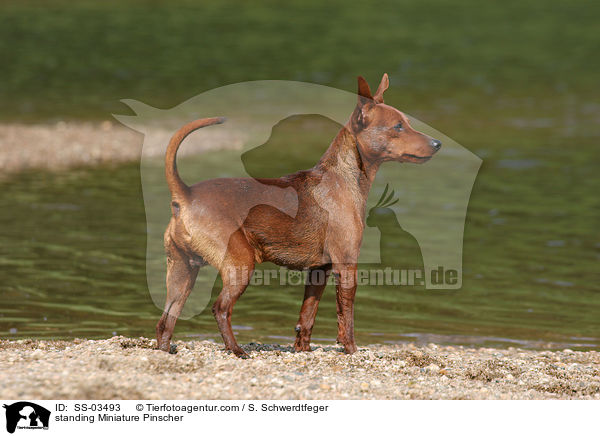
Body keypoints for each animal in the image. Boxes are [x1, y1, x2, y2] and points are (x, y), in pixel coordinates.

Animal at [155, 73, 440, 356]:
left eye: (407, 123)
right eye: (398, 127)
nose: (437, 143)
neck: (342, 177)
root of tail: (185, 194)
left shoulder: (318, 271)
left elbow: (307, 316)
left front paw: (303, 349)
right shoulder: (346, 265)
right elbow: (345, 316)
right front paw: (350, 349)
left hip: (182, 272)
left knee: (165, 320)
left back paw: (165, 349)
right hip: (239, 264)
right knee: (221, 309)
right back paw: (236, 350)